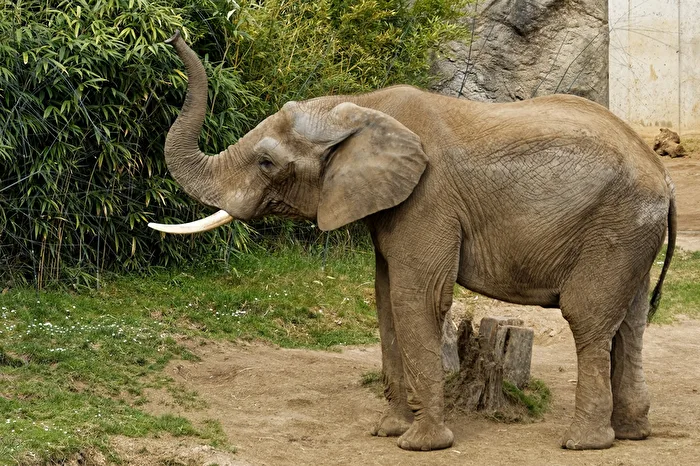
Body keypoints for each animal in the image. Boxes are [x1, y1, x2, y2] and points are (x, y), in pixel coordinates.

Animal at [149, 31, 676, 451]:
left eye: (265, 163)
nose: (173, 34)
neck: (363, 104)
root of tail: (663, 175)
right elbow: (385, 300)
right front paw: (388, 430)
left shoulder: (428, 200)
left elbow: (415, 298)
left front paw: (420, 444)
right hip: (630, 233)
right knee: (629, 322)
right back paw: (631, 434)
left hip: (615, 227)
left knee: (587, 318)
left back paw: (583, 443)